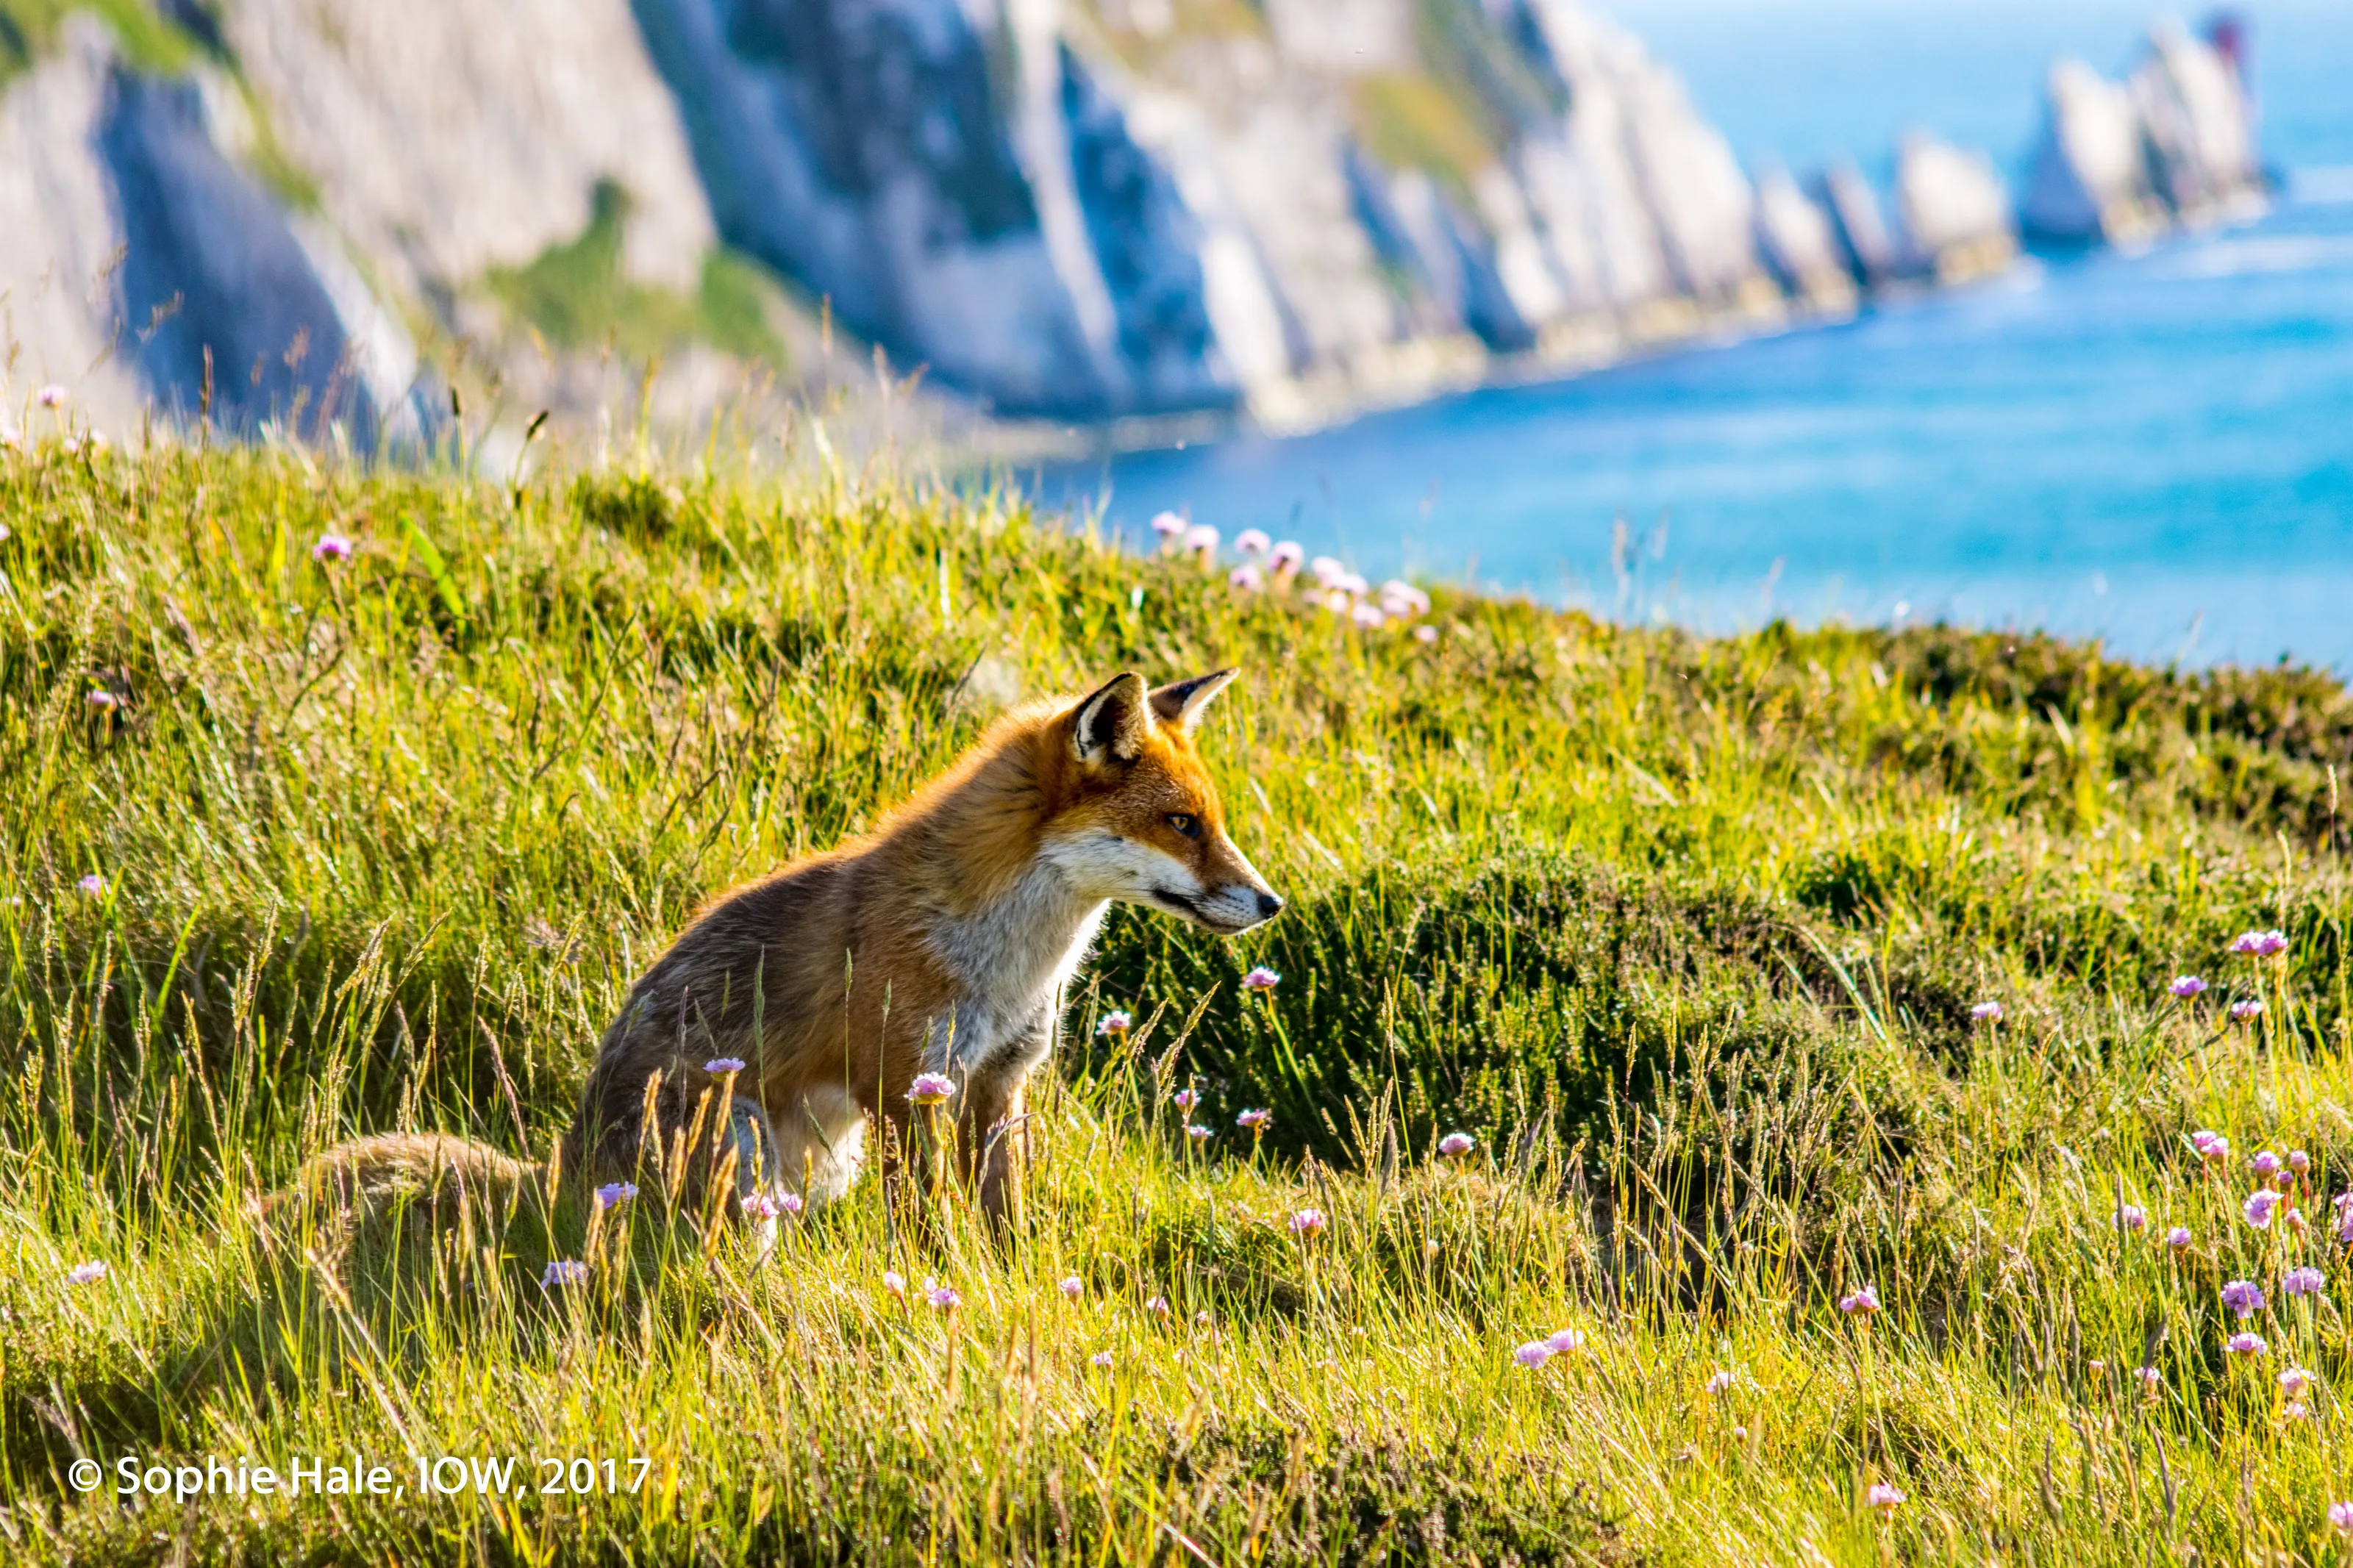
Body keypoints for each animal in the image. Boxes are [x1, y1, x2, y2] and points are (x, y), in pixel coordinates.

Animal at [277, 668, 1281, 1238]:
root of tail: (563, 1169)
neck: (1012, 960)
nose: (1270, 903)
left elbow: (1006, 1220)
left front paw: (1016, 1284)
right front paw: (946, 1289)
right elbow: (930, 1225)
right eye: (1180, 824)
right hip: (741, 1137)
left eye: (1213, 820)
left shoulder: (1000, 1080)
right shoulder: (904, 1084)